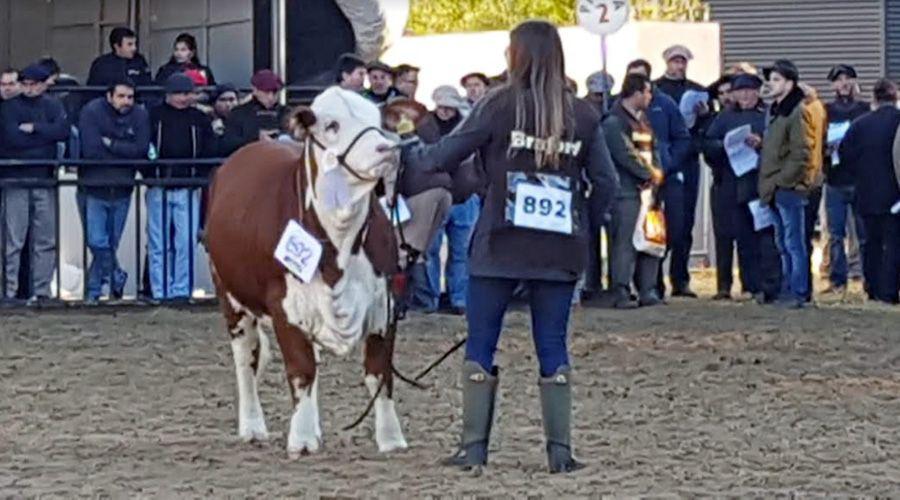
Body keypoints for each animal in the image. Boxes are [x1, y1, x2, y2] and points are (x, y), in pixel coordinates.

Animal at [206, 87, 406, 458]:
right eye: (332, 125)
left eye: (377, 120)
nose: (388, 149)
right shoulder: (285, 306)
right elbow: (300, 371)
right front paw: (300, 440)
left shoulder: (383, 302)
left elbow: (380, 373)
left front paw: (391, 438)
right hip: (230, 296)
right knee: (246, 360)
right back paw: (253, 427)